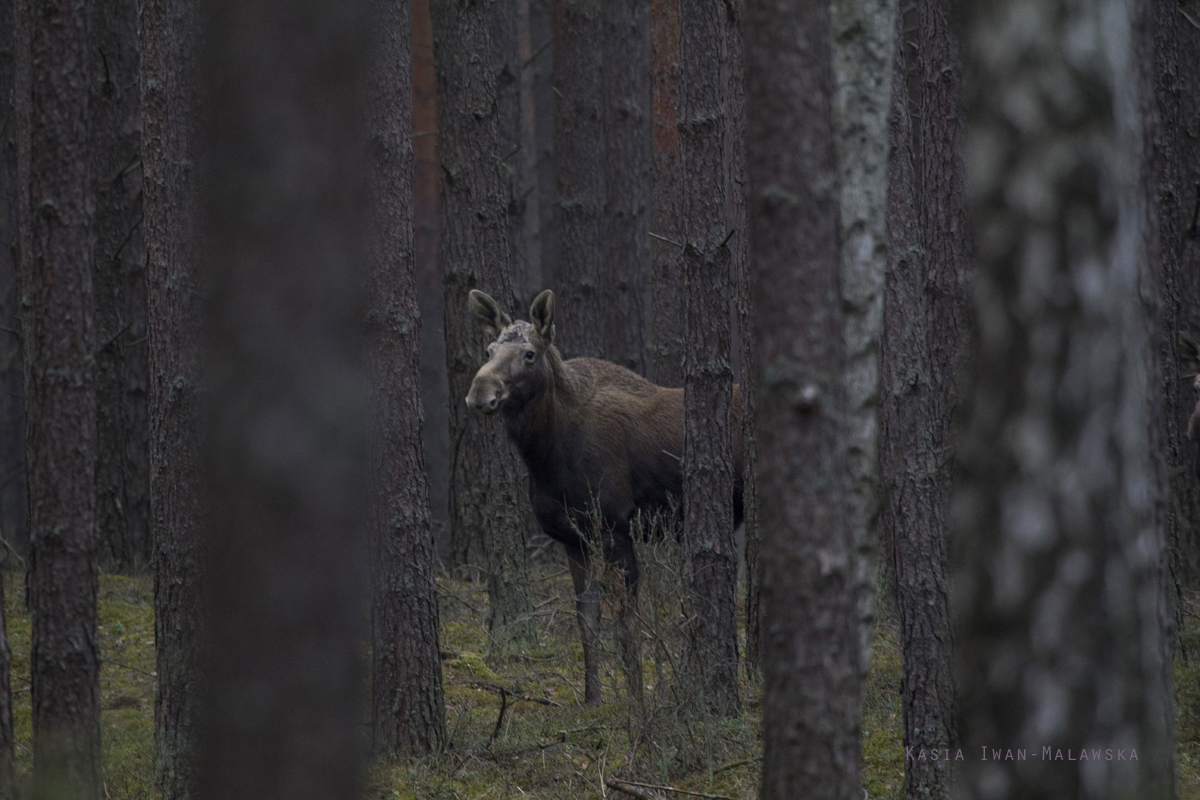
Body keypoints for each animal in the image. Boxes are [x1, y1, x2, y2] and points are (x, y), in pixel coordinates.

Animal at [465, 291, 739, 705]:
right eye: (488, 349)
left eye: (529, 353)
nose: (480, 393)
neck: (546, 458)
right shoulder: (572, 538)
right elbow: (587, 619)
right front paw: (592, 697)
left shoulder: (616, 527)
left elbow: (627, 623)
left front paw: (637, 701)